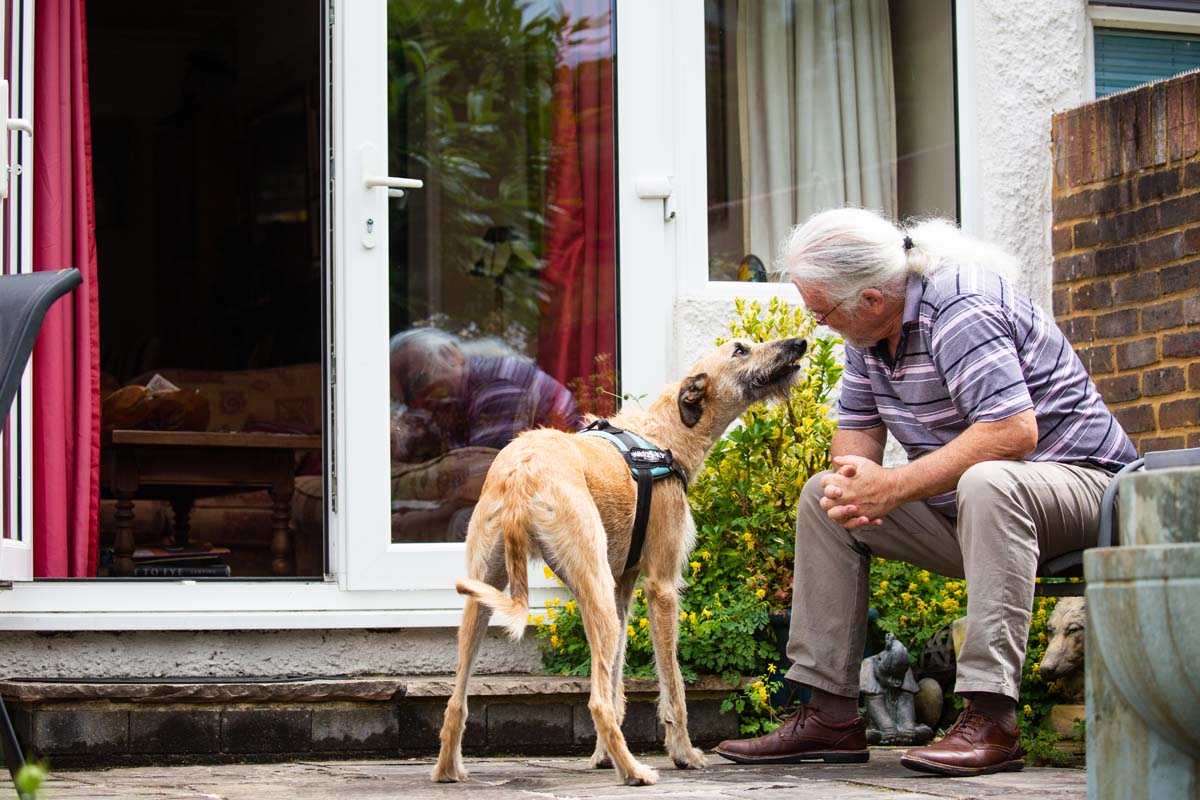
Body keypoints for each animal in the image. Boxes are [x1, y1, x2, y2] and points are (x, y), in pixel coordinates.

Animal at [432, 335, 806, 786]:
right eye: (739, 350)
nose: (799, 342)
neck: (664, 435)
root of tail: (522, 475)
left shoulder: (622, 587)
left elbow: (615, 681)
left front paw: (600, 756)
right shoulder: (661, 586)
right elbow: (672, 683)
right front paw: (684, 754)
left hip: (488, 596)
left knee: (457, 700)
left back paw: (449, 770)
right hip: (592, 591)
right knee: (594, 701)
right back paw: (634, 772)